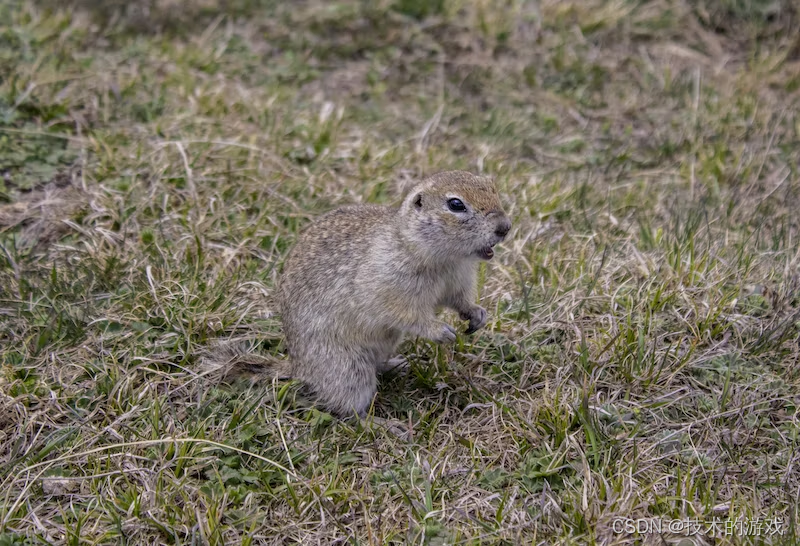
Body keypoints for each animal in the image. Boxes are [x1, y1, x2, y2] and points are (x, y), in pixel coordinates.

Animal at [276, 171, 512, 416]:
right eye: (456, 204)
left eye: (493, 188)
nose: (505, 227)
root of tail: (297, 369)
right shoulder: (389, 287)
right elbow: (406, 314)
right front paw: (440, 330)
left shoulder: (458, 280)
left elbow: (459, 299)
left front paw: (477, 313)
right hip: (347, 368)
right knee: (348, 406)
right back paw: (379, 421)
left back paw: (398, 365)